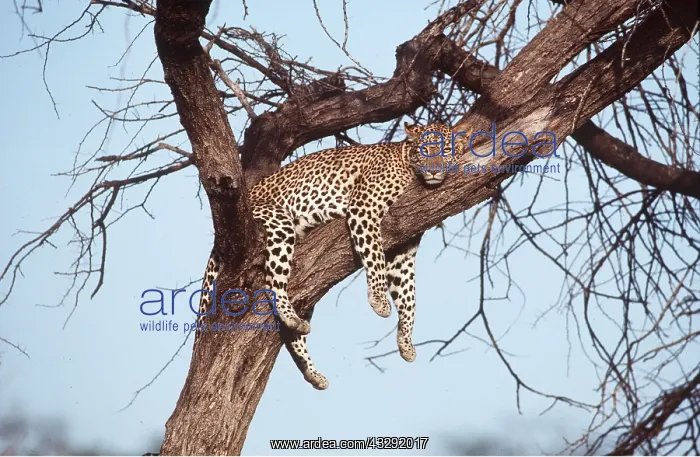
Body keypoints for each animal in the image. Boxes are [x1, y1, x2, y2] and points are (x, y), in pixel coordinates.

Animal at [194, 122, 467, 390]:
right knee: (273, 282)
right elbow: (375, 257)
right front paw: (379, 300)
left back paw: (312, 369)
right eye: (425, 150)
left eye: (445, 151)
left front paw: (406, 342)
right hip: (278, 221)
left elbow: (409, 296)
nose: (434, 172)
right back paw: (289, 315)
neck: (408, 167)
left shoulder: (404, 247)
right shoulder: (364, 208)